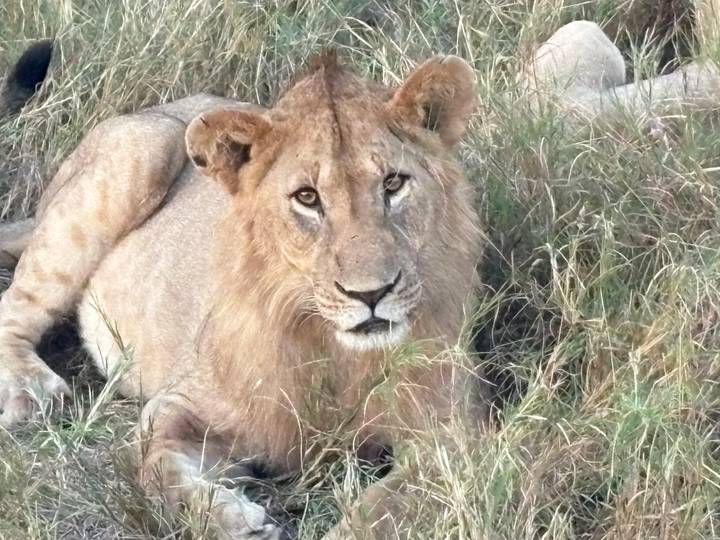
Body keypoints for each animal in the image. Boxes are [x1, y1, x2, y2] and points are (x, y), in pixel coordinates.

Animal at [0, 53, 484, 538]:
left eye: (393, 184)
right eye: (307, 198)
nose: (372, 293)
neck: (336, 355)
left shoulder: (454, 436)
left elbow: (384, 509)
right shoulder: (183, 404)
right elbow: (155, 468)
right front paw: (234, 521)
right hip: (141, 149)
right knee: (14, 306)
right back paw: (33, 392)